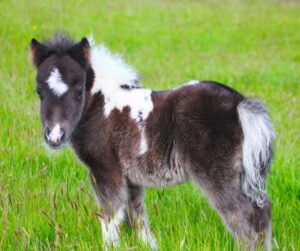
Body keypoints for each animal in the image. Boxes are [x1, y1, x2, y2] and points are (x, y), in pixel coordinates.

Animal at [29, 34, 274, 250]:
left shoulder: (105, 171)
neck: (101, 107)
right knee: (262, 211)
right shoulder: (130, 178)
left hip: (219, 175)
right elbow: (136, 215)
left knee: (243, 216)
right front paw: (149, 245)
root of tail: (239, 103)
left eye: (79, 91)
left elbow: (110, 217)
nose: (54, 136)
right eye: (39, 91)